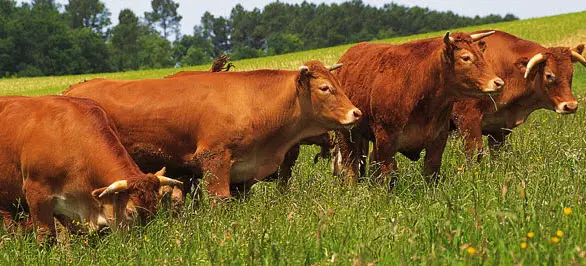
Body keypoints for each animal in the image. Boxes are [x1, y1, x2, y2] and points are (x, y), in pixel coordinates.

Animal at [61, 60, 358, 197]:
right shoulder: (214, 162)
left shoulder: (243, 174)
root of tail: (72, 91)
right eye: (325, 88)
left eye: (338, 83)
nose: (356, 113)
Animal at [334, 31, 502, 185]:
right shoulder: (386, 139)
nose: (498, 82)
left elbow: (431, 171)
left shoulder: (438, 138)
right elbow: (388, 173)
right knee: (351, 165)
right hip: (346, 134)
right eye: (466, 57)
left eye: (481, 54)